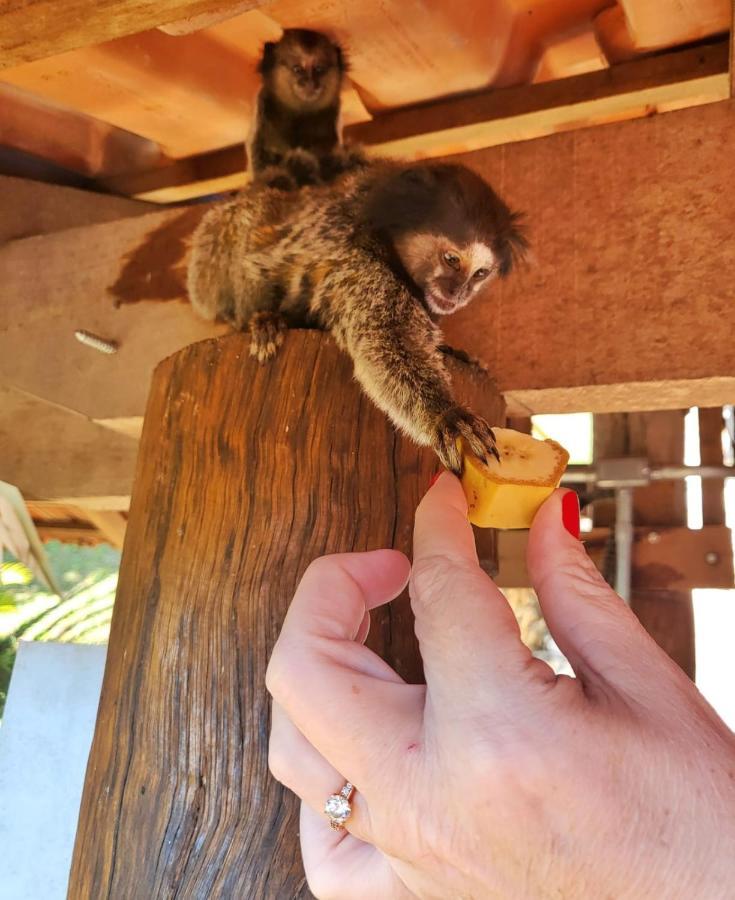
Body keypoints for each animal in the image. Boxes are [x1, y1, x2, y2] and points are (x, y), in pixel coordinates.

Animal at [187, 161, 528, 472]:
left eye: (480, 273)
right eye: (451, 260)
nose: (460, 293)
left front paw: (456, 353)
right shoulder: (365, 265)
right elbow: (385, 340)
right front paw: (446, 415)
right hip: (209, 272)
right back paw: (262, 318)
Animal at [247, 28, 366, 190]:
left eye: (318, 69)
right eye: (298, 69)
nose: (310, 82)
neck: (299, 115)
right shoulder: (263, 109)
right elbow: (260, 152)